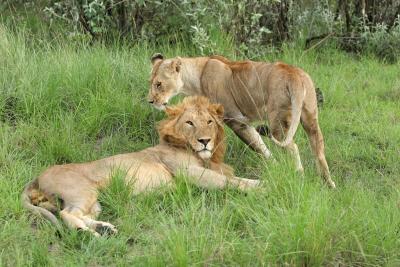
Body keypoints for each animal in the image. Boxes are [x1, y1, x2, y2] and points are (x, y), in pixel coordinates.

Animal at [21, 96, 260, 237]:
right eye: (190, 123)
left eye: (209, 122)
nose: (205, 141)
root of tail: (38, 177)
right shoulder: (189, 174)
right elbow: (230, 181)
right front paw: (262, 186)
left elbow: (231, 177)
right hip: (82, 191)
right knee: (66, 215)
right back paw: (88, 234)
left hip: (94, 201)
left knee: (79, 214)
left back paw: (104, 228)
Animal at [148, 54, 336, 188]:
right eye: (151, 83)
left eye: (159, 84)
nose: (150, 101)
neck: (197, 75)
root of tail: (293, 73)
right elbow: (261, 145)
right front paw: (275, 167)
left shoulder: (236, 120)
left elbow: (258, 146)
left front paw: (275, 167)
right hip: (310, 117)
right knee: (319, 149)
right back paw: (329, 183)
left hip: (278, 122)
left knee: (292, 147)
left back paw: (299, 175)